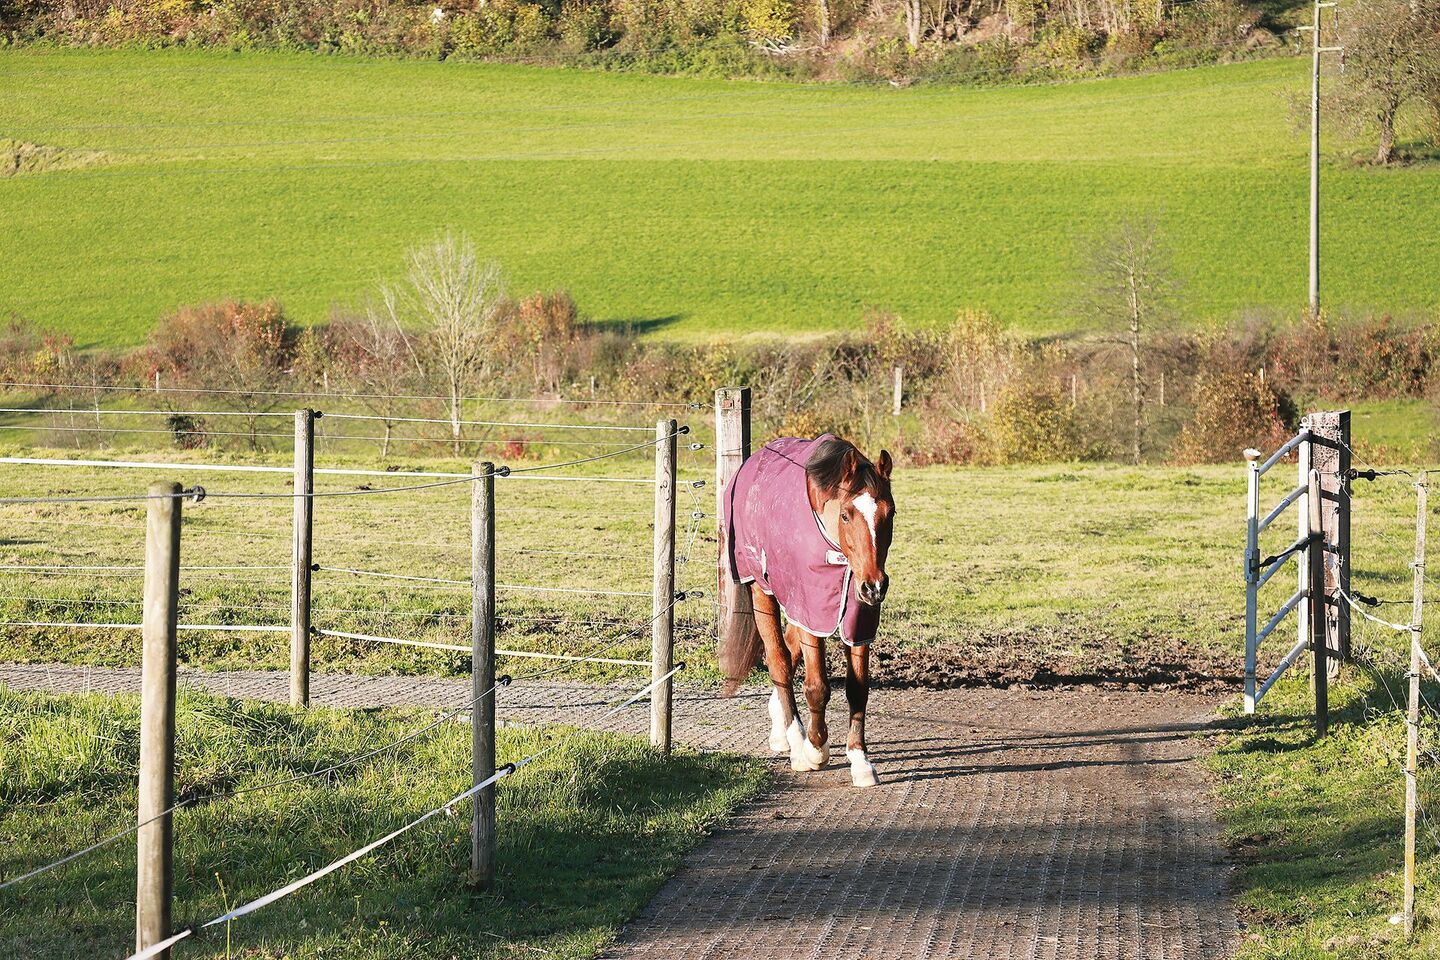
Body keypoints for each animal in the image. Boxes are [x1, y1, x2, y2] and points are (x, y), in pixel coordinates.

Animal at [717, 434, 894, 787]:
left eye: (891, 513)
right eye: (846, 515)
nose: (874, 586)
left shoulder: (858, 618)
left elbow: (858, 689)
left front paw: (860, 760)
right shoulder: (812, 611)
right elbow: (817, 687)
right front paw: (815, 748)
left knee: (789, 648)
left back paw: (781, 731)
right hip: (763, 591)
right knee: (779, 661)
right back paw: (797, 741)